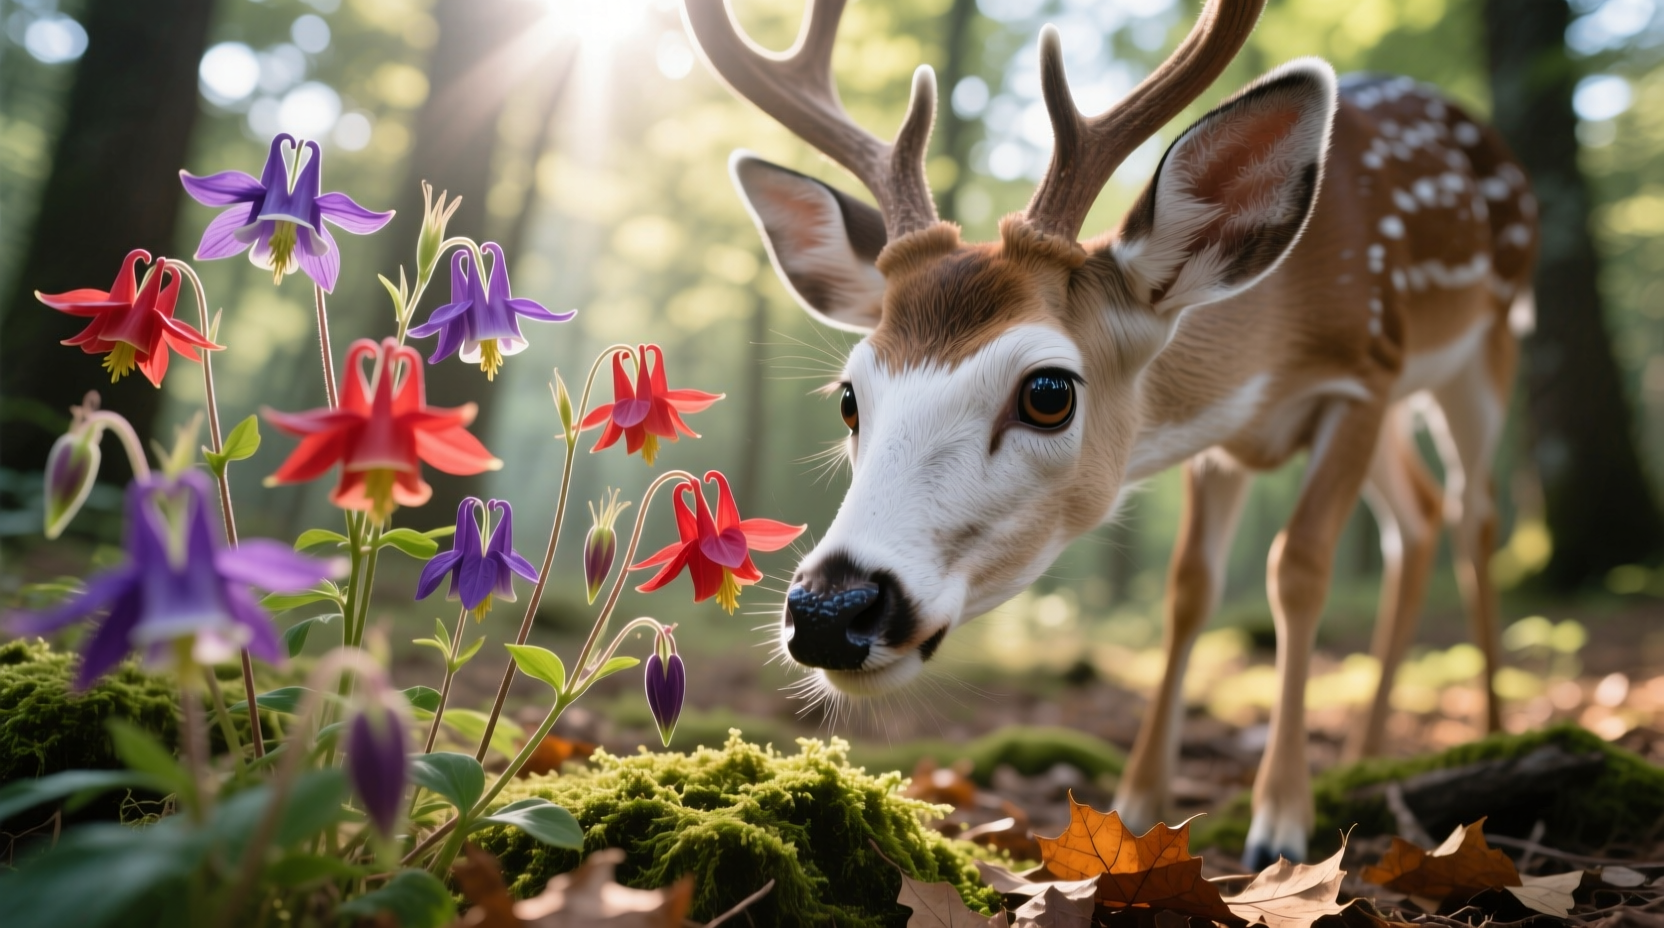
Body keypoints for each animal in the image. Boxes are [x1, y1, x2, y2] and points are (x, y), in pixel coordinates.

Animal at [681, 0, 1538, 868]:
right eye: (850, 398)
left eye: (1048, 392)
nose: (830, 610)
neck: (1272, 342)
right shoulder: (1221, 440)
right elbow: (1189, 587)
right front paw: (1136, 804)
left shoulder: (1366, 371)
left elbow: (1297, 568)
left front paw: (1281, 821)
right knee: (1417, 517)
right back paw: (1367, 753)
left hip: (1489, 344)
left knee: (1473, 513)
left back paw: (1497, 735)